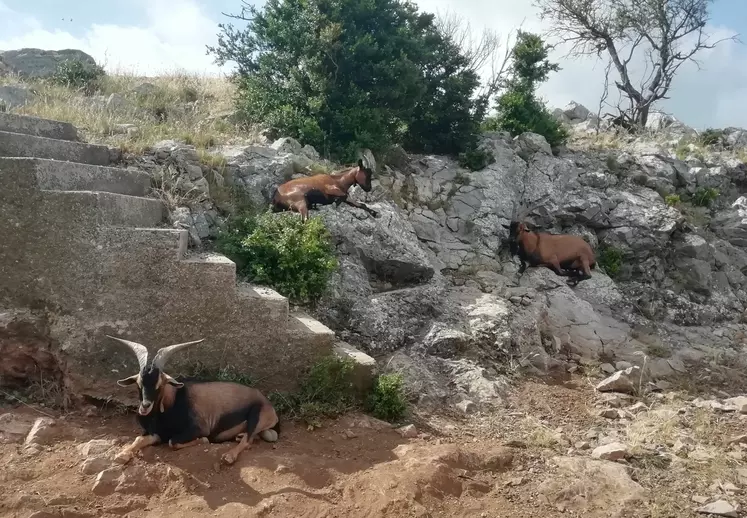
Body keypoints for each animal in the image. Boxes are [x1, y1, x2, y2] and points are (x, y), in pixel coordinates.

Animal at [106, 336, 280, 470]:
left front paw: (203, 440)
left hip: (257, 414)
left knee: (248, 440)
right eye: (139, 383)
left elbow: (173, 442)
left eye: (160, 384)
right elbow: (138, 440)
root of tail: (269, 406)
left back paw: (229, 456)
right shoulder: (155, 433)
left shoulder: (198, 428)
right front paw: (121, 455)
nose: (145, 406)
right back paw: (238, 436)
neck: (173, 401)